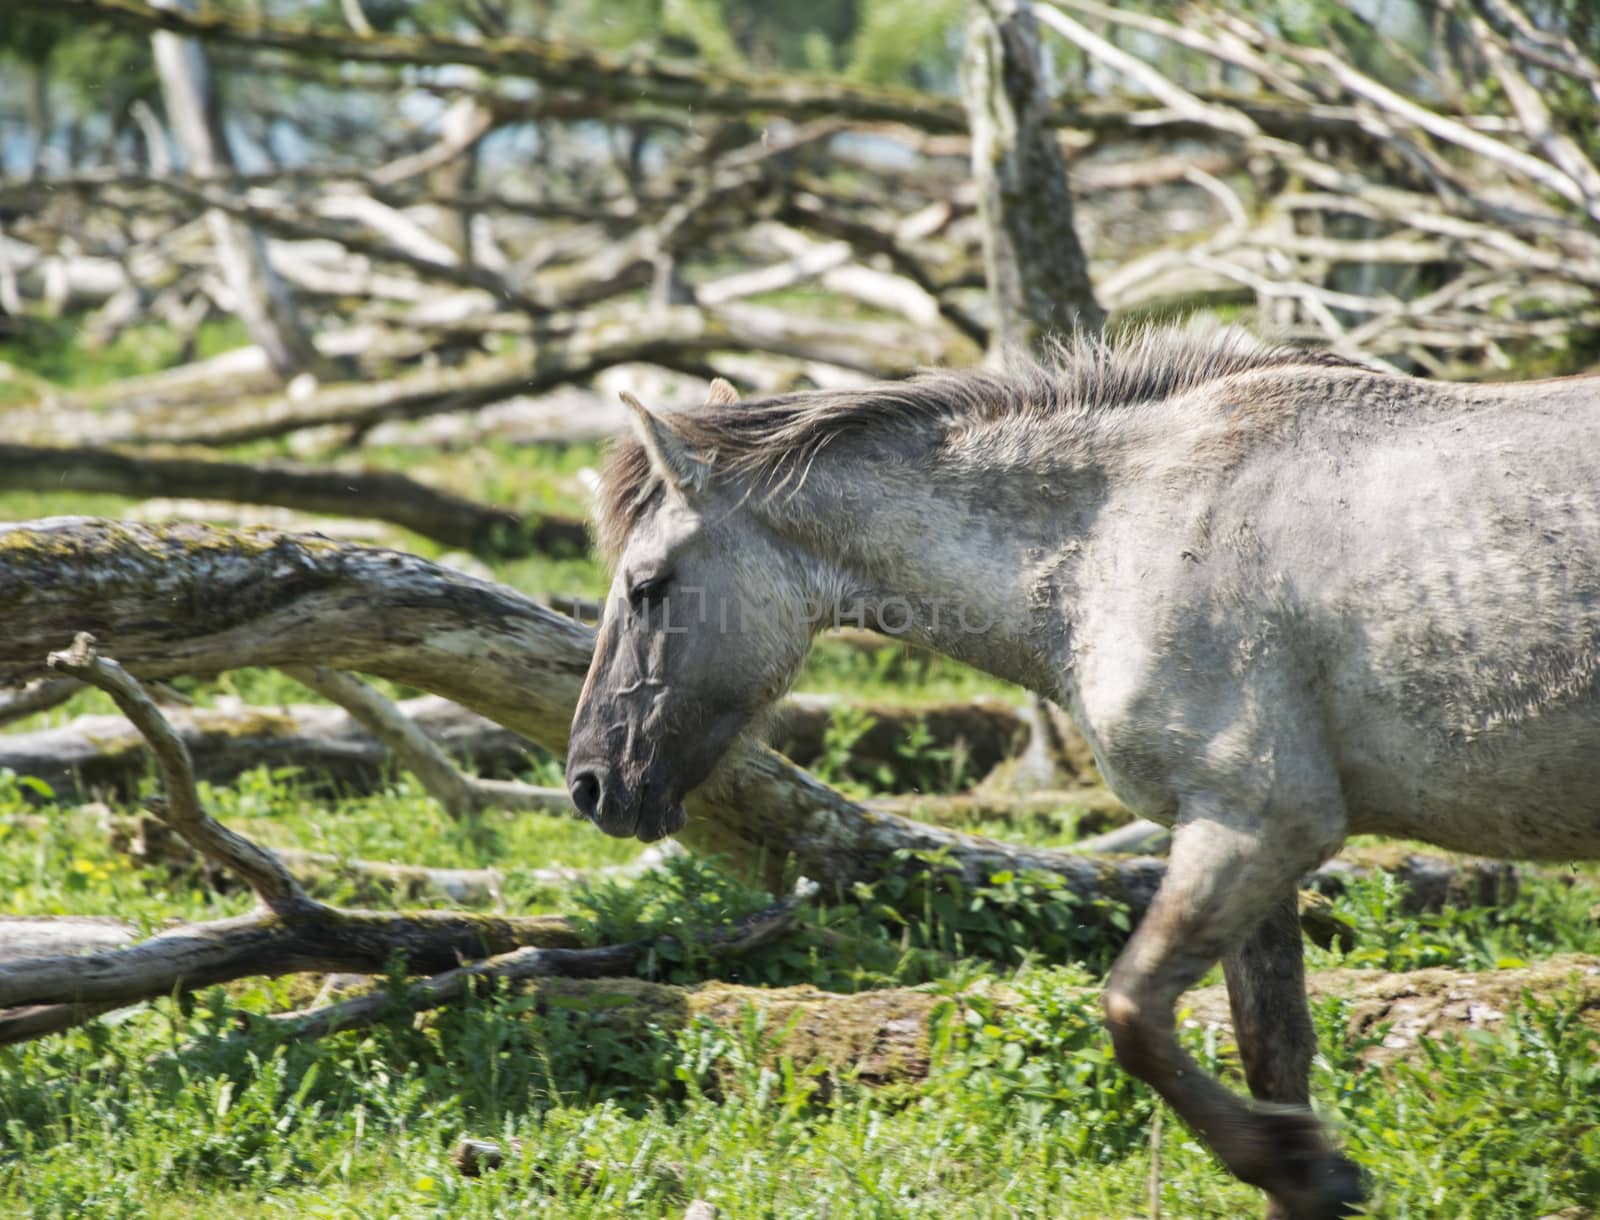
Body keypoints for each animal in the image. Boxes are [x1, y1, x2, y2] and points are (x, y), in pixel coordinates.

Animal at [563, 328, 1600, 1210]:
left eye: (646, 586)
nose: (591, 783)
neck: (1124, 536)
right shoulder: (1246, 839)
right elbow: (1272, 1054)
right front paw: (1302, 1174)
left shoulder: (1258, 820)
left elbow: (1132, 1013)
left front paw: (1310, 1168)